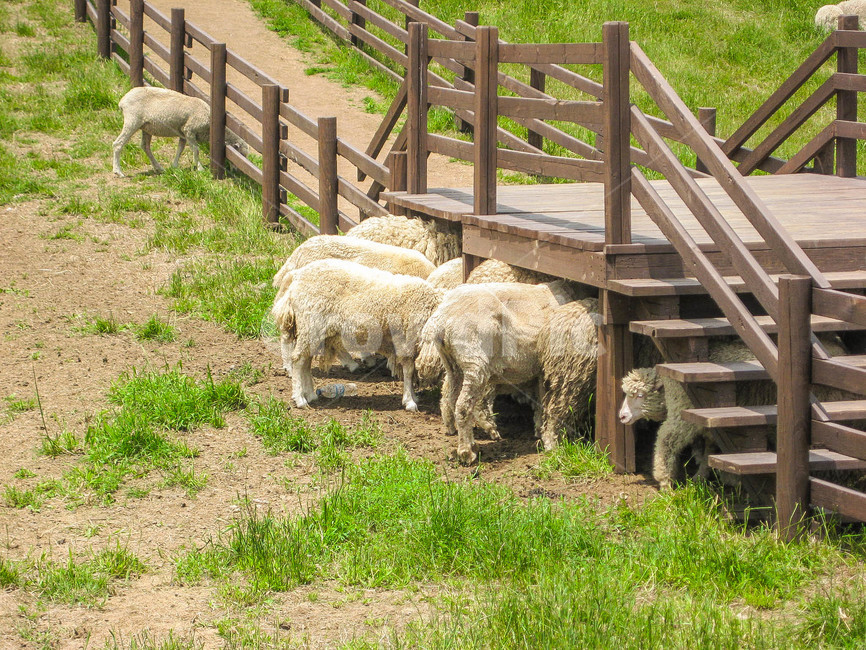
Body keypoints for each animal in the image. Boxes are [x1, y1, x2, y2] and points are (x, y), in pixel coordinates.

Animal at [113, 87, 250, 177]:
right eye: (241, 155)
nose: (237, 171)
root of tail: (122, 100)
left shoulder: (183, 134)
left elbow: (180, 149)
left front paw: (175, 166)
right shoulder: (189, 130)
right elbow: (196, 150)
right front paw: (200, 168)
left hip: (146, 127)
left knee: (145, 146)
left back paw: (158, 168)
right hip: (132, 121)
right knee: (118, 144)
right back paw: (118, 171)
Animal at [271, 259, 442, 411]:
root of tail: (297, 276)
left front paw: (413, 396)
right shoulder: (406, 341)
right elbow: (408, 371)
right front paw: (410, 401)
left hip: (314, 332)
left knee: (306, 361)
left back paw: (310, 395)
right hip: (311, 325)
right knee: (298, 360)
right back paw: (299, 398)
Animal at [427, 280, 575, 464]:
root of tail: (443, 319)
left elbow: (540, 400)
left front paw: (539, 428)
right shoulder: (544, 368)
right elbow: (543, 399)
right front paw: (542, 431)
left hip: (452, 364)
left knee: (450, 399)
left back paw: (466, 440)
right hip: (474, 360)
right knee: (463, 406)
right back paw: (467, 452)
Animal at [619, 336, 856, 490]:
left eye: (639, 395)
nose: (621, 416)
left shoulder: (695, 421)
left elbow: (689, 447)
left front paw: (684, 479)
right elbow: (707, 451)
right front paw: (707, 477)